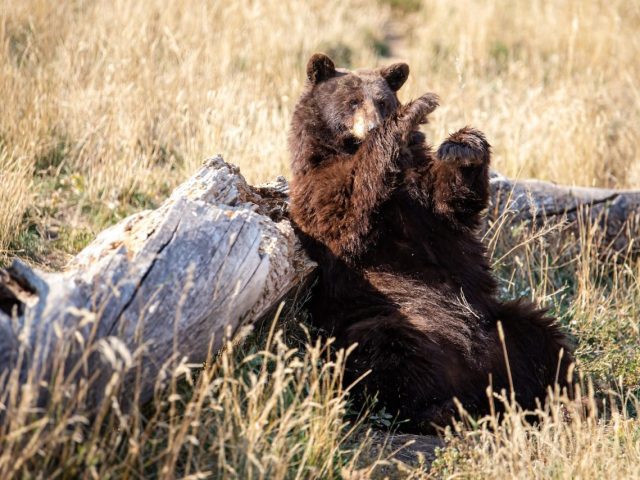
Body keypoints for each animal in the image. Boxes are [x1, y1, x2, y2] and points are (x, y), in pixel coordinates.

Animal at [288, 52, 572, 432]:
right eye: (351, 101)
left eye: (382, 100)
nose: (373, 125)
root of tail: (474, 377)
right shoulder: (319, 190)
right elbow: (347, 213)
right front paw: (415, 109)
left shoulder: (418, 195)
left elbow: (449, 201)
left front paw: (464, 145)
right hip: (390, 318)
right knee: (389, 354)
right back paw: (437, 410)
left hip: (497, 324)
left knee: (540, 340)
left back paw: (561, 399)